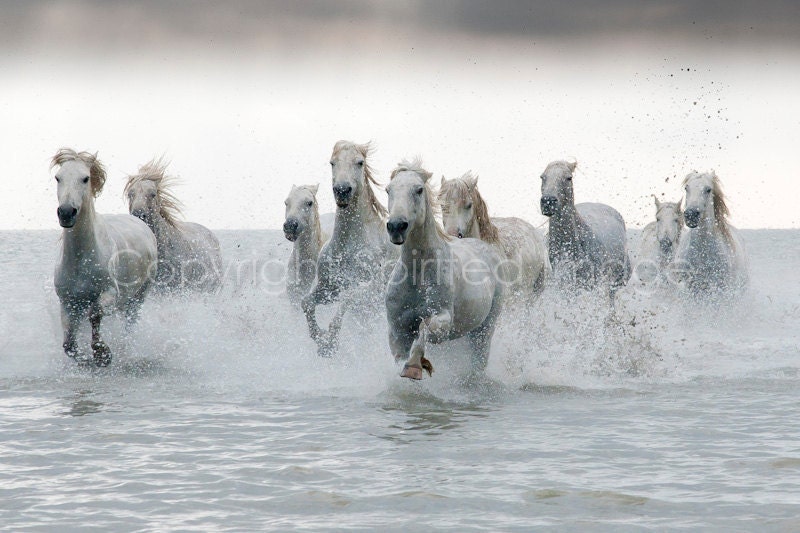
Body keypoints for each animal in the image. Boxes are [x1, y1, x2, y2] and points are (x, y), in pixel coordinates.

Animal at [52, 148, 158, 366]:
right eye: (58, 177)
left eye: (85, 178)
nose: (66, 212)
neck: (82, 259)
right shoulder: (67, 302)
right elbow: (69, 344)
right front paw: (86, 359)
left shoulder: (110, 293)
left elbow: (95, 313)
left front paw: (102, 353)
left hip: (139, 296)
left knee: (129, 323)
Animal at [301, 141, 396, 356]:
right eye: (332, 162)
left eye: (360, 162)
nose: (342, 190)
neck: (348, 248)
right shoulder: (328, 288)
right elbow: (307, 303)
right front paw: (321, 340)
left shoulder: (365, 290)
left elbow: (347, 298)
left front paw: (330, 341)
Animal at [385, 159, 505, 380]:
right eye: (389, 189)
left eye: (419, 189)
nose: (396, 226)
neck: (419, 273)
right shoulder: (397, 330)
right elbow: (400, 354)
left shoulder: (443, 321)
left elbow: (425, 327)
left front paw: (414, 367)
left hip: (485, 328)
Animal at [539, 160, 631, 300]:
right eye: (542, 177)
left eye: (569, 178)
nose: (548, 201)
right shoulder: (566, 288)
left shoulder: (594, 285)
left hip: (616, 282)